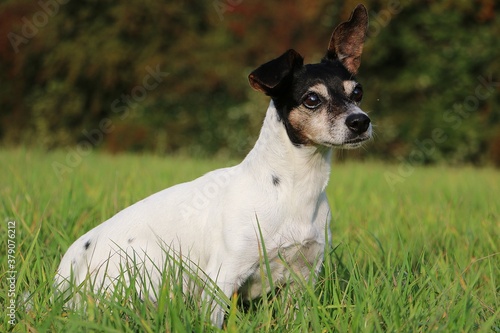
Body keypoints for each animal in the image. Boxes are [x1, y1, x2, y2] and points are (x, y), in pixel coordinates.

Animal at [56, 4, 374, 326]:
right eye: (311, 99)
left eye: (357, 92)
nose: (360, 121)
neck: (294, 188)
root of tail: (65, 274)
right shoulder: (222, 278)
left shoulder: (303, 277)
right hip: (150, 266)